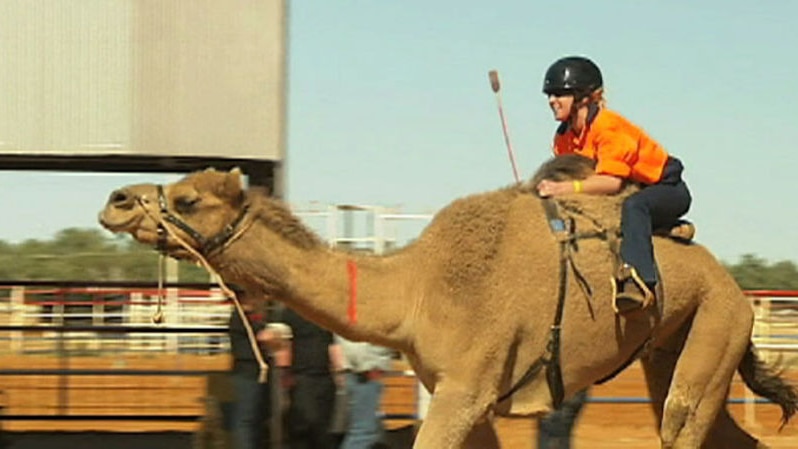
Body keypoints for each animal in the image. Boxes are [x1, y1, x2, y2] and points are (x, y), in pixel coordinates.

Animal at [100, 155, 798, 448]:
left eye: (189, 200)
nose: (117, 200)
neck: (418, 288)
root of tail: (736, 288)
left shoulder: (466, 387)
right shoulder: (467, 395)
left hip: (715, 324)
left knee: (681, 422)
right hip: (676, 343)